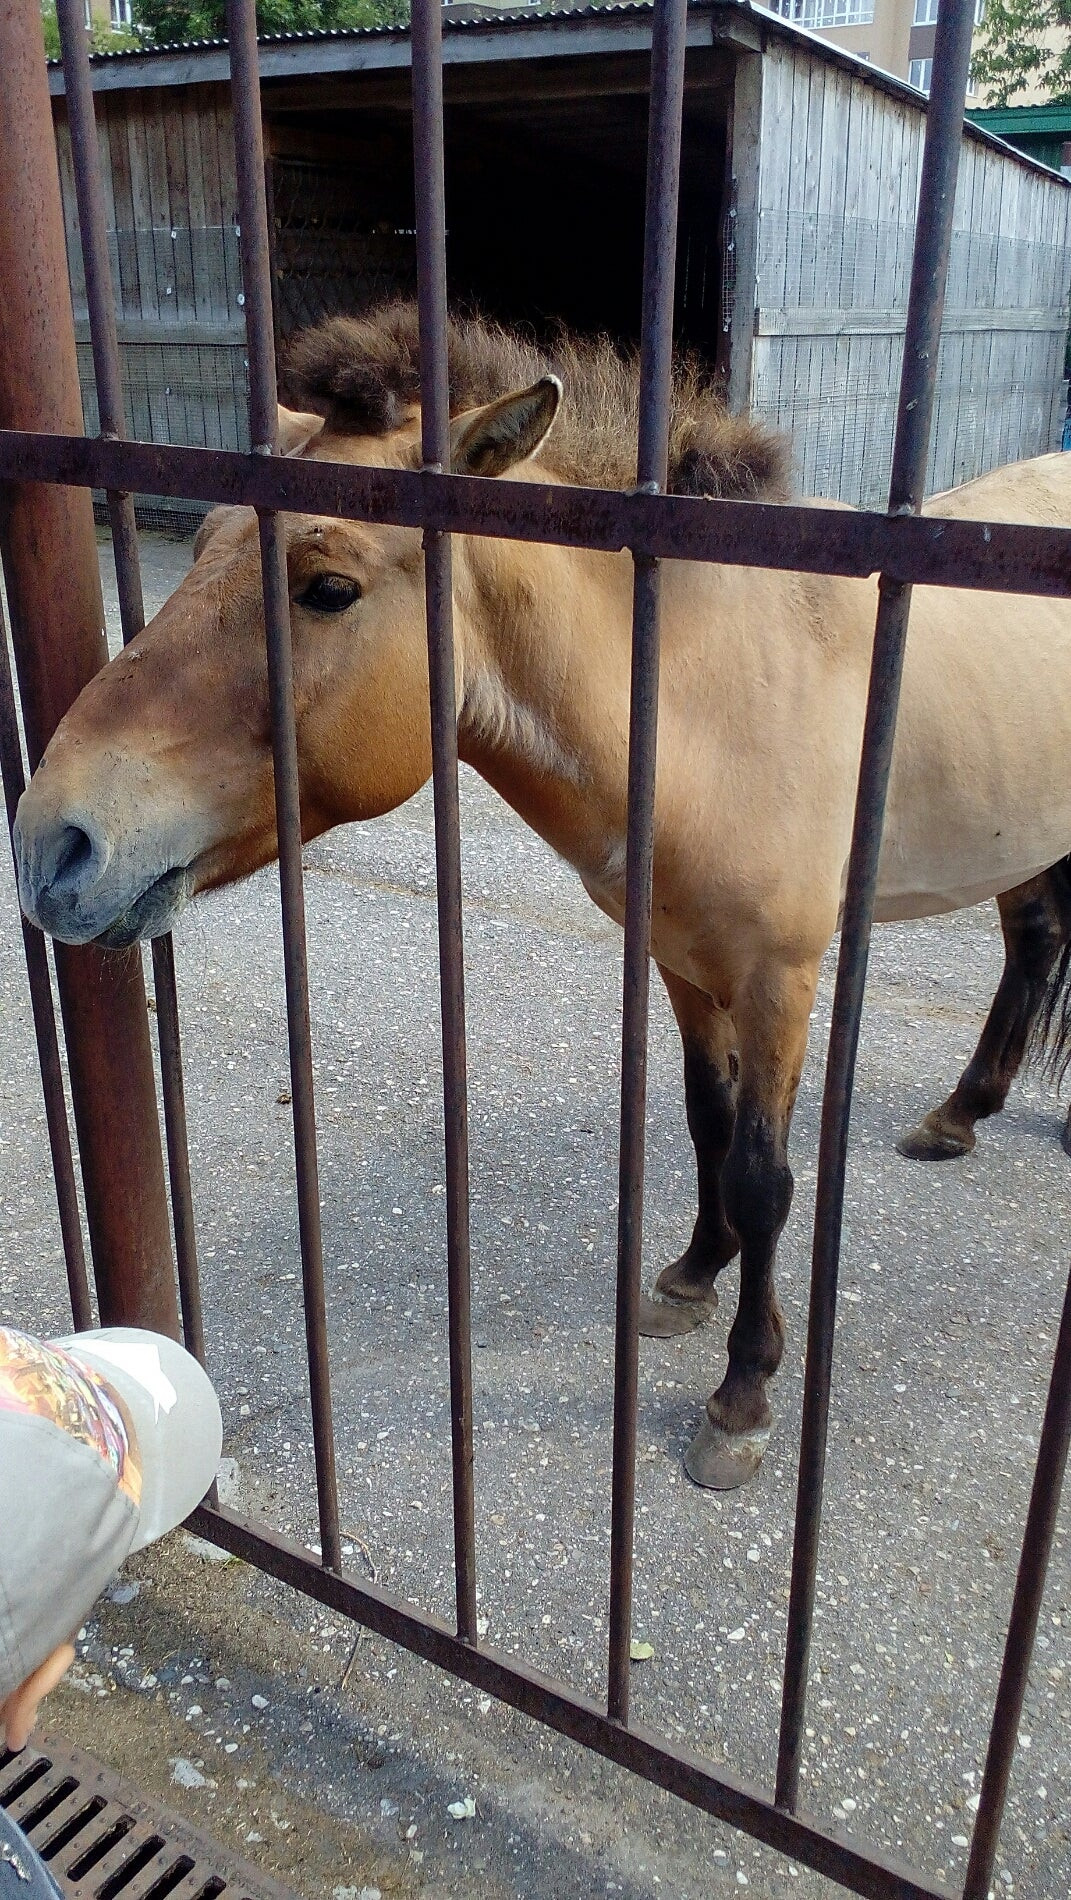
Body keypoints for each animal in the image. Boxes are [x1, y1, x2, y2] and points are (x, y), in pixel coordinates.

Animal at [12, 311, 1071, 1489]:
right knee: (1036, 942)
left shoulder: (778, 977)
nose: (53, 839)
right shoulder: (681, 960)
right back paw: (961, 1114)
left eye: (326, 586)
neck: (707, 691)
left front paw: (742, 1394)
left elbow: (761, 1175)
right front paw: (690, 1276)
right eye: (199, 549)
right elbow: (706, 1127)